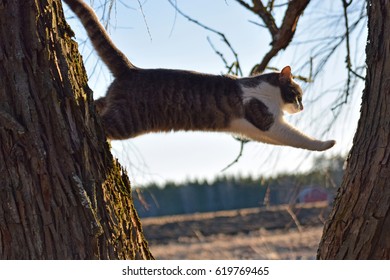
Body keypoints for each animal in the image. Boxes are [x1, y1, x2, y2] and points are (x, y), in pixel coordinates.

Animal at [63, 0, 336, 152]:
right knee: (103, 124)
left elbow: (283, 139)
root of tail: (132, 69)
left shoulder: (254, 131)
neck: (266, 91)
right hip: (127, 121)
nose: (301, 107)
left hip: (112, 101)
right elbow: (298, 138)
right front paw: (326, 144)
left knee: (97, 102)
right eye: (297, 94)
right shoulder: (267, 120)